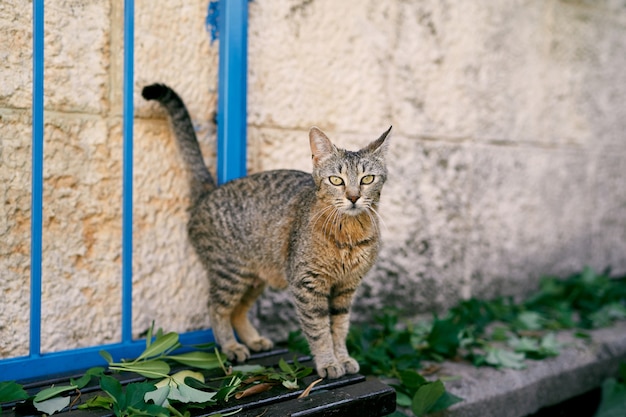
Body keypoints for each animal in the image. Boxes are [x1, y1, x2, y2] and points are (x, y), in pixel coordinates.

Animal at [141, 83, 390, 378]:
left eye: (367, 179)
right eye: (336, 180)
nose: (353, 197)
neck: (348, 233)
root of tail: (210, 191)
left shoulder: (346, 288)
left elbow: (339, 328)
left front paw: (342, 357)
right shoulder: (307, 284)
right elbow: (319, 330)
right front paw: (328, 362)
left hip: (255, 277)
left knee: (237, 311)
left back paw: (253, 339)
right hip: (230, 273)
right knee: (217, 308)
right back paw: (230, 346)